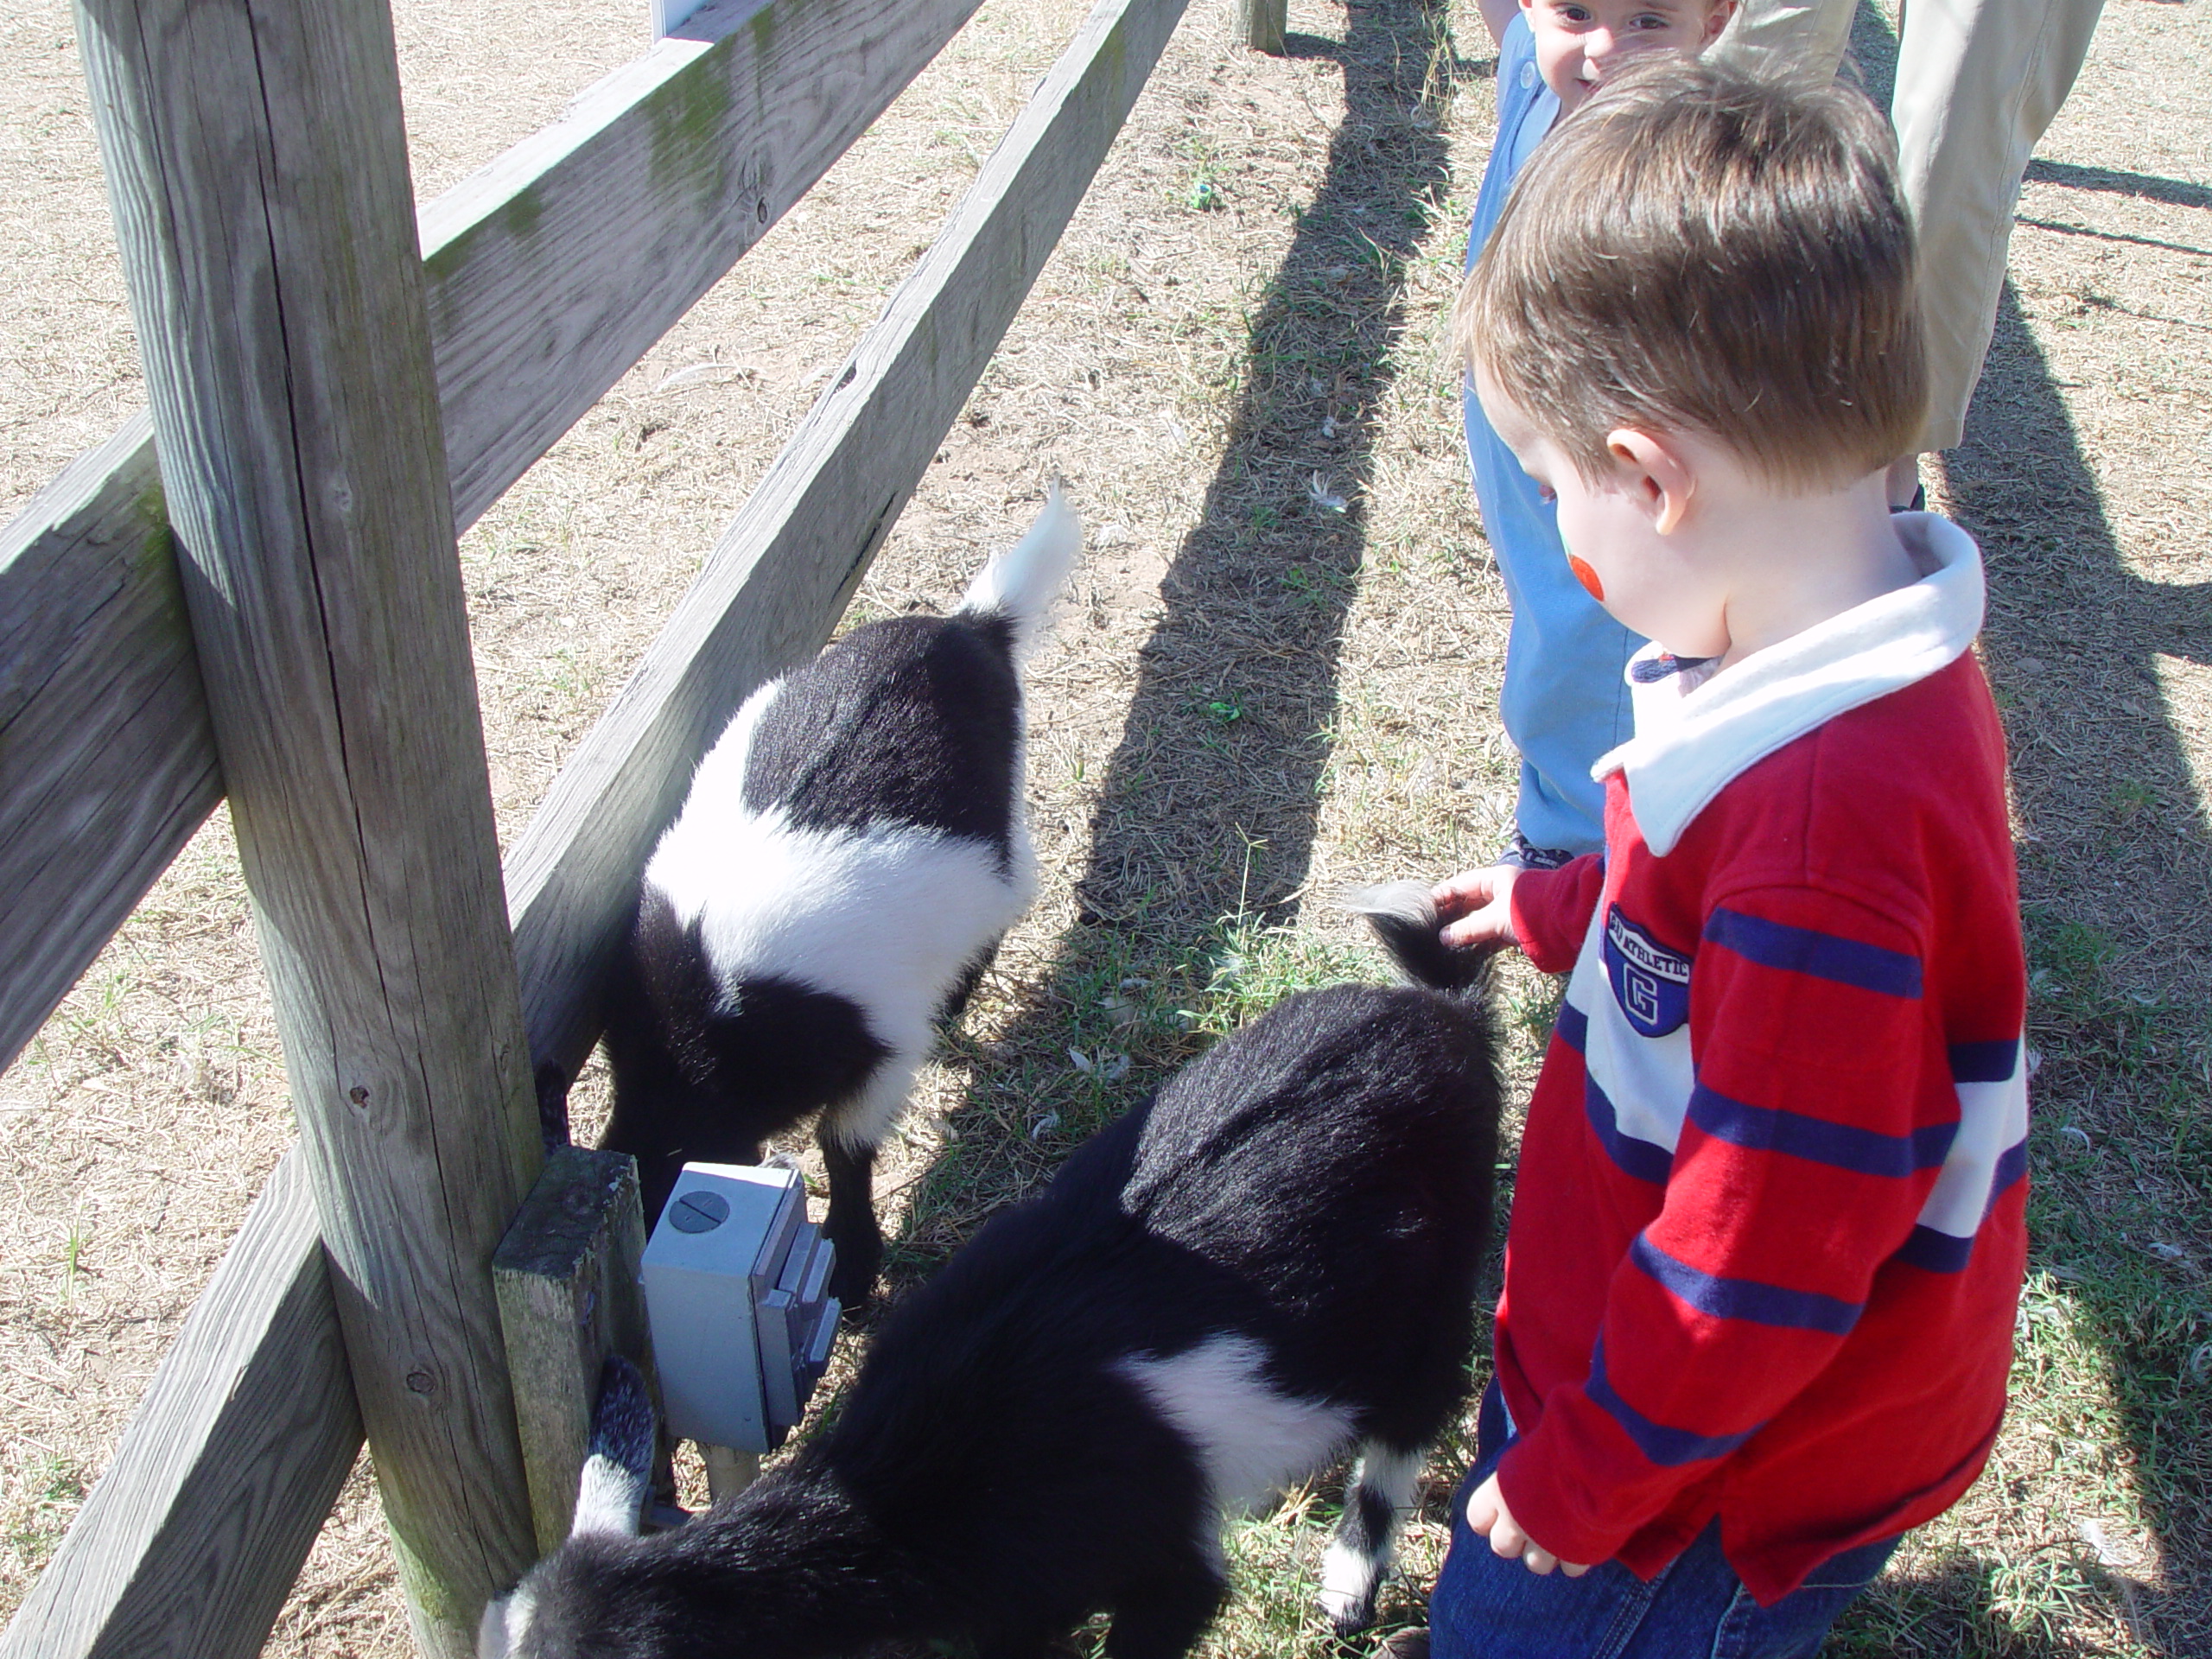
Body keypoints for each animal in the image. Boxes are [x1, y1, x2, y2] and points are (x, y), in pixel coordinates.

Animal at [484, 898, 1503, 1659]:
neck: (908, 1493)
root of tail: (1443, 1016)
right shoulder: (1015, 1594)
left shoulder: (1148, 1539)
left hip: (1444, 1270)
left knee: (1414, 1412)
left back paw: (1350, 1584)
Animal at [597, 486, 1079, 1309]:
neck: (708, 1020)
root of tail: (971, 625)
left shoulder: (882, 1035)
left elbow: (845, 1142)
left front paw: (853, 1266)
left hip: (996, 833)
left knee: (1014, 888)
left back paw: (961, 994)